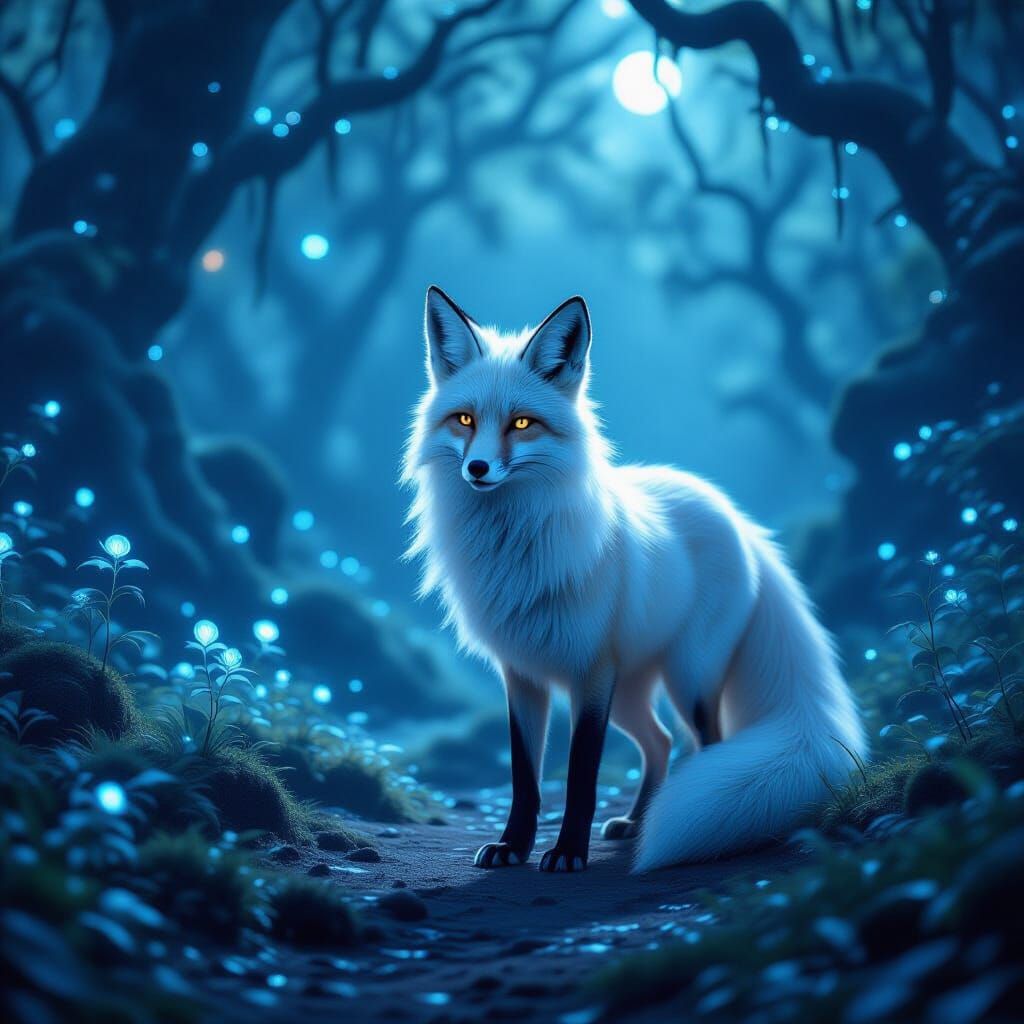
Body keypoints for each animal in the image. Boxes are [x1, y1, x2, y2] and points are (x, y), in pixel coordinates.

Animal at [402, 286, 866, 873]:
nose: (477, 469)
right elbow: (525, 779)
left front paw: (567, 853)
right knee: (661, 742)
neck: (516, 549)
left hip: (688, 678)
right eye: (463, 419)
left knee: (705, 742)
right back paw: (639, 823)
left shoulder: (592, 671)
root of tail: (737, 518)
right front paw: (513, 846)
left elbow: (581, 774)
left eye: (522, 424)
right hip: (631, 691)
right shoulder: (522, 674)